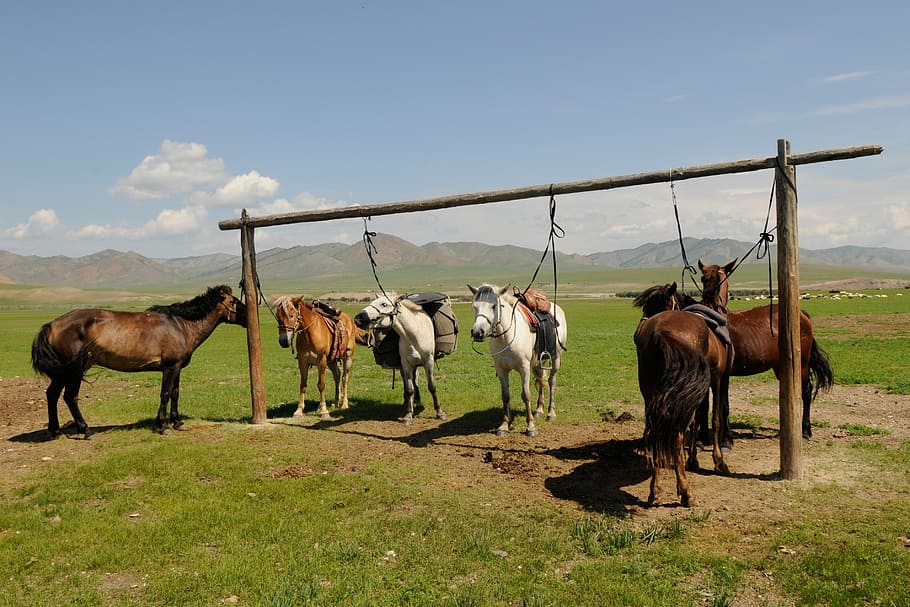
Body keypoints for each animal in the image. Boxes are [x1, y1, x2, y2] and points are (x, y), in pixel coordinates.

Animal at [31, 285, 247, 438]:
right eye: (234, 301)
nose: (249, 316)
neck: (180, 325)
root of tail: (51, 325)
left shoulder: (177, 368)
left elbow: (175, 394)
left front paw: (176, 422)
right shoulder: (170, 367)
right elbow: (165, 394)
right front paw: (163, 426)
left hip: (63, 372)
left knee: (52, 394)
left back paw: (55, 431)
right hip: (75, 370)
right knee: (70, 397)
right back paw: (85, 430)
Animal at [353, 292, 447, 425]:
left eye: (384, 304)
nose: (358, 318)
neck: (413, 334)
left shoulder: (428, 362)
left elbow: (432, 386)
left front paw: (440, 413)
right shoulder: (406, 364)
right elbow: (409, 389)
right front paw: (408, 415)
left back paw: (418, 402)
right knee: (409, 382)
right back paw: (408, 402)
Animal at [467, 284, 568, 437]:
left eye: (494, 306)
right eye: (474, 306)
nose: (478, 332)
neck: (506, 337)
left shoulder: (524, 368)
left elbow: (526, 395)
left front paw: (531, 427)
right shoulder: (501, 369)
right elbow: (505, 396)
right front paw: (504, 426)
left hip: (555, 359)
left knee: (551, 382)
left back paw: (551, 413)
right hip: (540, 362)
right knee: (541, 380)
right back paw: (539, 410)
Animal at [634, 260, 735, 506]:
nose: (637, 332)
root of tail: (658, 333)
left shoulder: (696, 389)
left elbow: (697, 419)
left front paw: (693, 459)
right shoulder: (718, 379)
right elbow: (715, 418)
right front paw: (718, 461)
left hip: (652, 393)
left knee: (656, 431)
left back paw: (655, 490)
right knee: (676, 432)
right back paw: (686, 492)